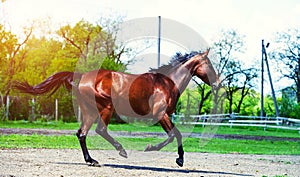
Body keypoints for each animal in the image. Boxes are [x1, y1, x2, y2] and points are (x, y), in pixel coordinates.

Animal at [12, 49, 219, 167]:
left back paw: (91, 160)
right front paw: (160, 152)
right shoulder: (160, 114)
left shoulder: (165, 115)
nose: (217, 83)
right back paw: (121, 151)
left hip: (89, 111)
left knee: (82, 133)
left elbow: (176, 135)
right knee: (100, 130)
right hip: (105, 108)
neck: (167, 82)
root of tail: (82, 77)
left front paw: (177, 158)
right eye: (209, 64)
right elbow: (173, 136)